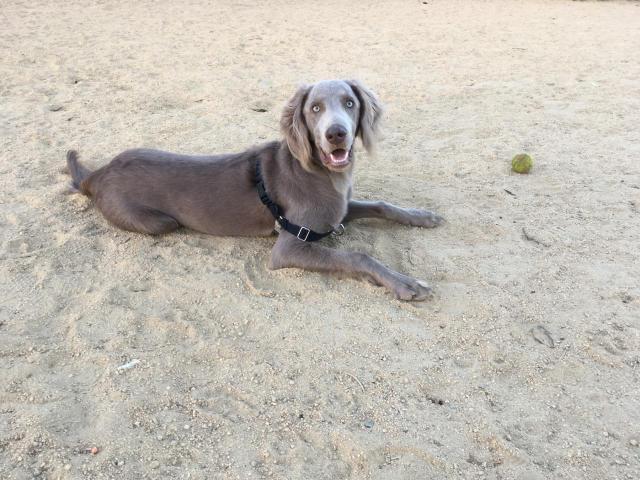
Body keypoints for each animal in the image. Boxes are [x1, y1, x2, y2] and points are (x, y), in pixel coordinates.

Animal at [66, 81, 444, 302]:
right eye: (315, 109)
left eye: (349, 103)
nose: (336, 134)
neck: (321, 174)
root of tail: (98, 173)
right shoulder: (291, 246)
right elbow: (358, 256)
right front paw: (405, 284)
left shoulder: (340, 211)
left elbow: (382, 205)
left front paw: (422, 216)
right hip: (160, 222)